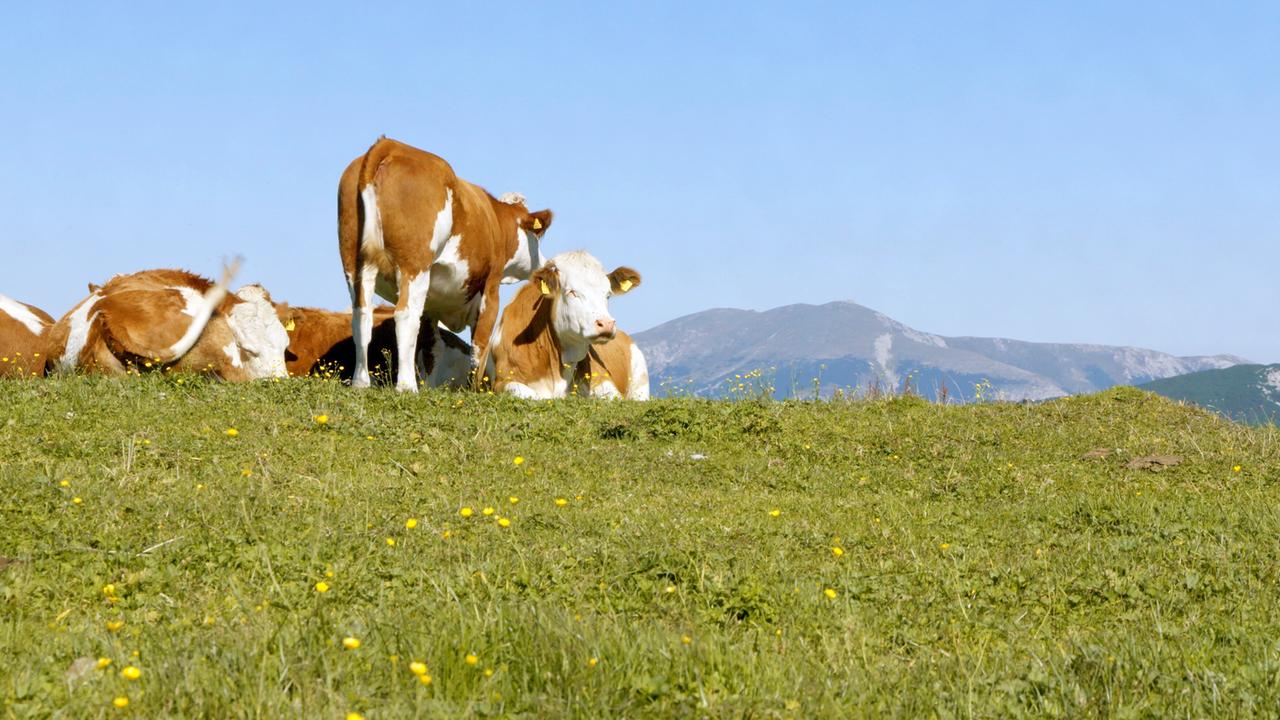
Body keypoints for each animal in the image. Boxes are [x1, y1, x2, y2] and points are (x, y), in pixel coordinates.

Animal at [338, 136, 553, 392]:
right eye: (537, 236)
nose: (543, 262)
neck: (495, 221)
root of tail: (391, 145)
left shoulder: (432, 303)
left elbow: (433, 349)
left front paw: (430, 386)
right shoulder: (491, 288)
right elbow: (479, 348)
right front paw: (475, 390)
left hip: (355, 263)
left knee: (361, 316)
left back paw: (360, 383)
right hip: (414, 264)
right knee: (405, 316)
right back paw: (406, 386)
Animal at [487, 250, 641, 399]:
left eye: (608, 294)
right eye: (571, 292)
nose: (607, 324)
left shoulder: (603, 380)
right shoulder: (502, 382)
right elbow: (529, 394)